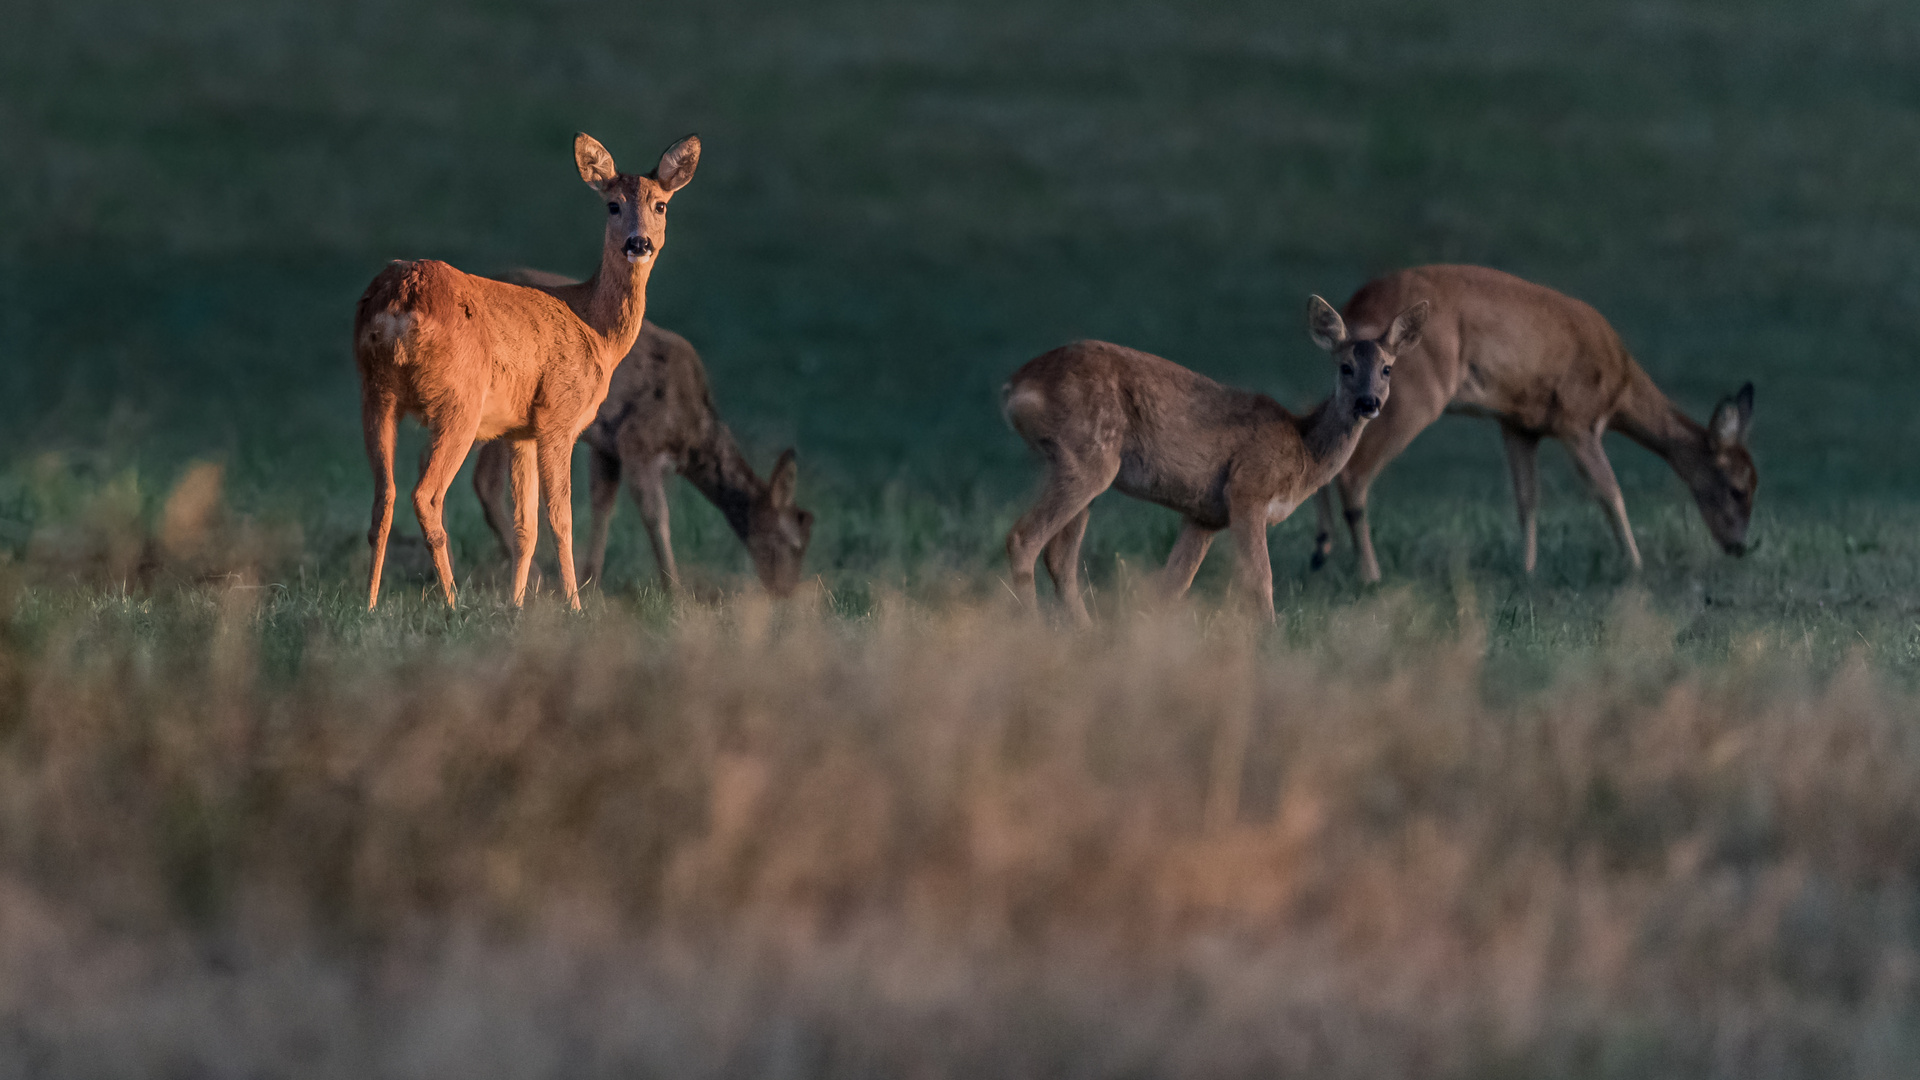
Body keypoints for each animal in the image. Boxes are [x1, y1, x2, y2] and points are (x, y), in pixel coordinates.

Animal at [353, 127, 698, 607]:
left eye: (660, 204)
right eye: (612, 204)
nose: (638, 243)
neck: (596, 328)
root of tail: (403, 298)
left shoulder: (521, 430)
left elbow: (526, 526)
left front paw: (516, 604)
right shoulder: (558, 416)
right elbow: (561, 518)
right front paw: (574, 604)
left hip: (376, 391)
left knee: (383, 496)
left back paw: (368, 603)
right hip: (458, 403)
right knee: (425, 495)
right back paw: (453, 601)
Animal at [472, 265, 817, 591]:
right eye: (793, 544)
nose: (785, 591)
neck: (692, 433)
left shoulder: (607, 447)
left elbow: (603, 505)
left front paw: (590, 579)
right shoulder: (637, 440)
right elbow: (656, 515)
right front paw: (674, 591)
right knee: (486, 482)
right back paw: (535, 577)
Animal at [1006, 292, 1428, 622]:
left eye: (1387, 369)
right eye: (1345, 367)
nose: (1368, 402)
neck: (1303, 451)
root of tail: (1015, 386)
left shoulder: (1204, 515)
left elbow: (1173, 585)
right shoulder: (1247, 488)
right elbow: (1260, 579)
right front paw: (1269, 637)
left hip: (1083, 466)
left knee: (1060, 555)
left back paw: (1084, 630)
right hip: (1089, 454)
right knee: (1024, 538)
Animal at [1305, 263, 1758, 576]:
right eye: (1737, 488)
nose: (1739, 546)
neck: (1620, 385)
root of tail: (1354, 306)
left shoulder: (1519, 424)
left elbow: (1527, 498)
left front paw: (1528, 569)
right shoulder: (1577, 420)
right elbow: (1609, 491)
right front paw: (1636, 565)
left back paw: (1321, 549)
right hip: (1416, 393)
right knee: (1354, 472)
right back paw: (1370, 573)